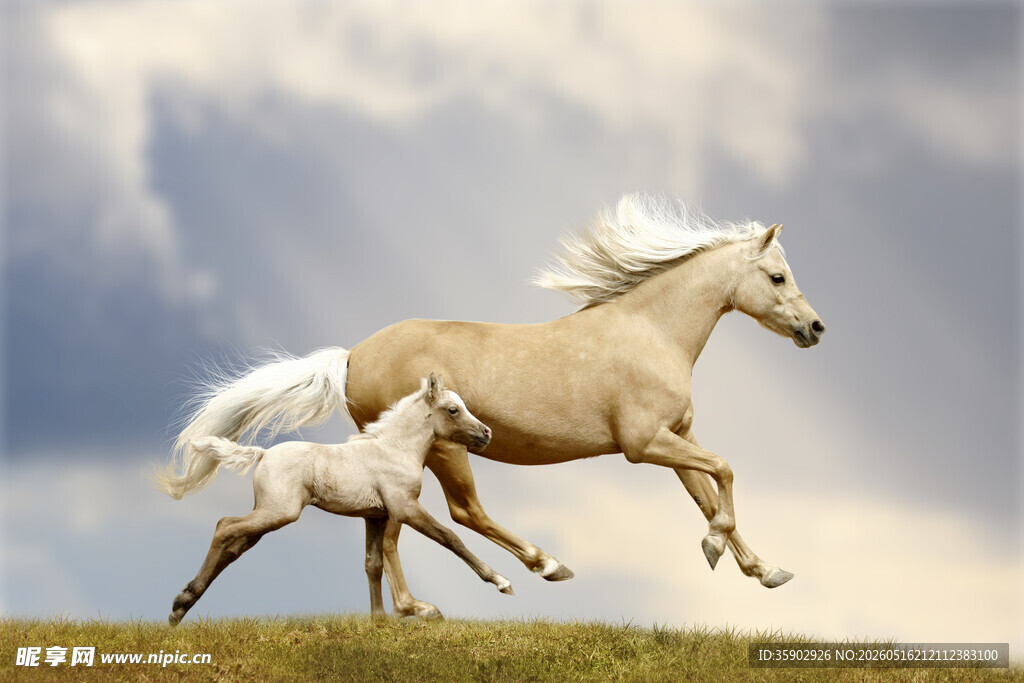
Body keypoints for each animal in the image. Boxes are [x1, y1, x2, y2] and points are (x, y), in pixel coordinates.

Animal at [166, 375, 513, 626]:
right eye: (453, 409)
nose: (486, 433)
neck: (395, 449)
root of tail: (262, 454)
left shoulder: (376, 516)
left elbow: (373, 563)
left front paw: (379, 619)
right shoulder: (405, 508)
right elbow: (449, 538)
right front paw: (498, 582)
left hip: (267, 516)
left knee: (232, 546)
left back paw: (180, 608)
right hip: (279, 512)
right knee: (225, 526)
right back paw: (182, 602)